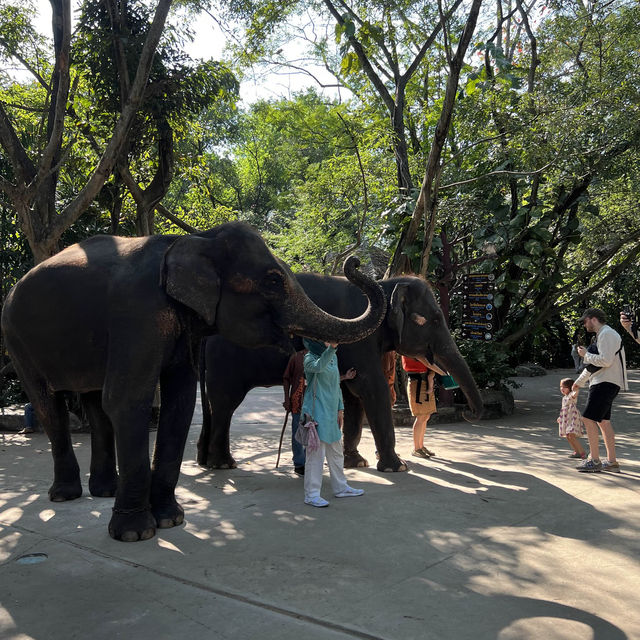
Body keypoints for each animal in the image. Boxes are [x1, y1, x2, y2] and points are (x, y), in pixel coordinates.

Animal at [1, 222, 384, 544]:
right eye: (274, 280)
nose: (353, 262)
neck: (196, 239)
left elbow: (180, 403)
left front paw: (171, 521)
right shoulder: (137, 313)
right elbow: (128, 399)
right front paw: (136, 534)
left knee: (94, 405)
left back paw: (104, 491)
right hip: (16, 339)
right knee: (48, 404)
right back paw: (65, 495)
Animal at [198, 272, 482, 472]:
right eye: (434, 319)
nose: (468, 413)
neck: (383, 285)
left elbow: (353, 395)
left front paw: (357, 463)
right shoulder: (359, 341)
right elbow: (372, 388)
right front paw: (398, 467)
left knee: (214, 406)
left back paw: (206, 460)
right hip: (224, 361)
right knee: (226, 405)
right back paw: (224, 464)